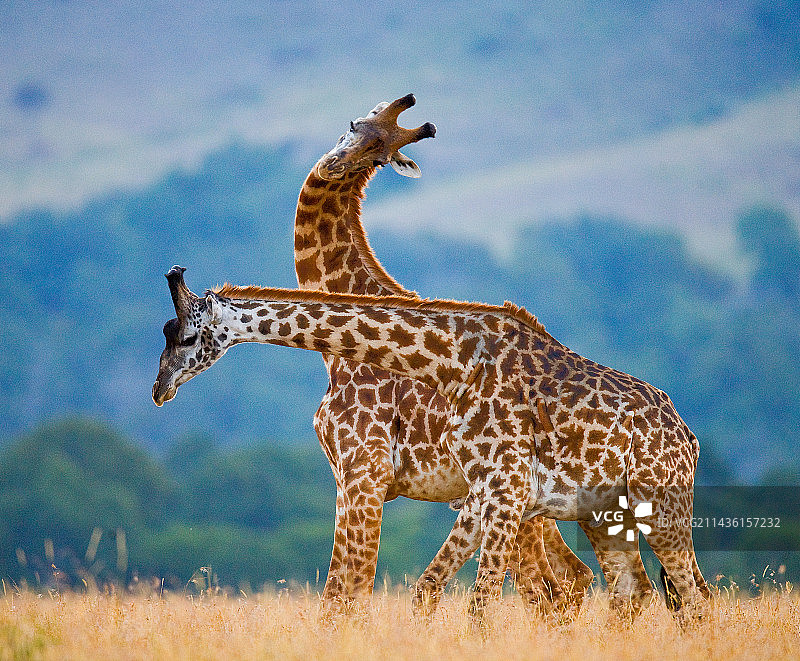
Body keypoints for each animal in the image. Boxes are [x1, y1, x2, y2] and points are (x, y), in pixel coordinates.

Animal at [152, 267, 709, 623]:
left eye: (185, 337)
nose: (159, 390)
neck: (455, 363)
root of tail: (689, 435)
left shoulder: (505, 490)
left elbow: (479, 605)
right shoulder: (482, 492)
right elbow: (426, 589)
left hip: (664, 509)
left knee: (696, 597)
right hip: (602, 517)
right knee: (635, 592)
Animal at [294, 93, 592, 615]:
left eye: (378, 154)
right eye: (354, 125)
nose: (335, 165)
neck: (335, 355)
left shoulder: (366, 471)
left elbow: (347, 593)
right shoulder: (346, 479)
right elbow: (340, 595)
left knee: (551, 587)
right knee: (569, 579)